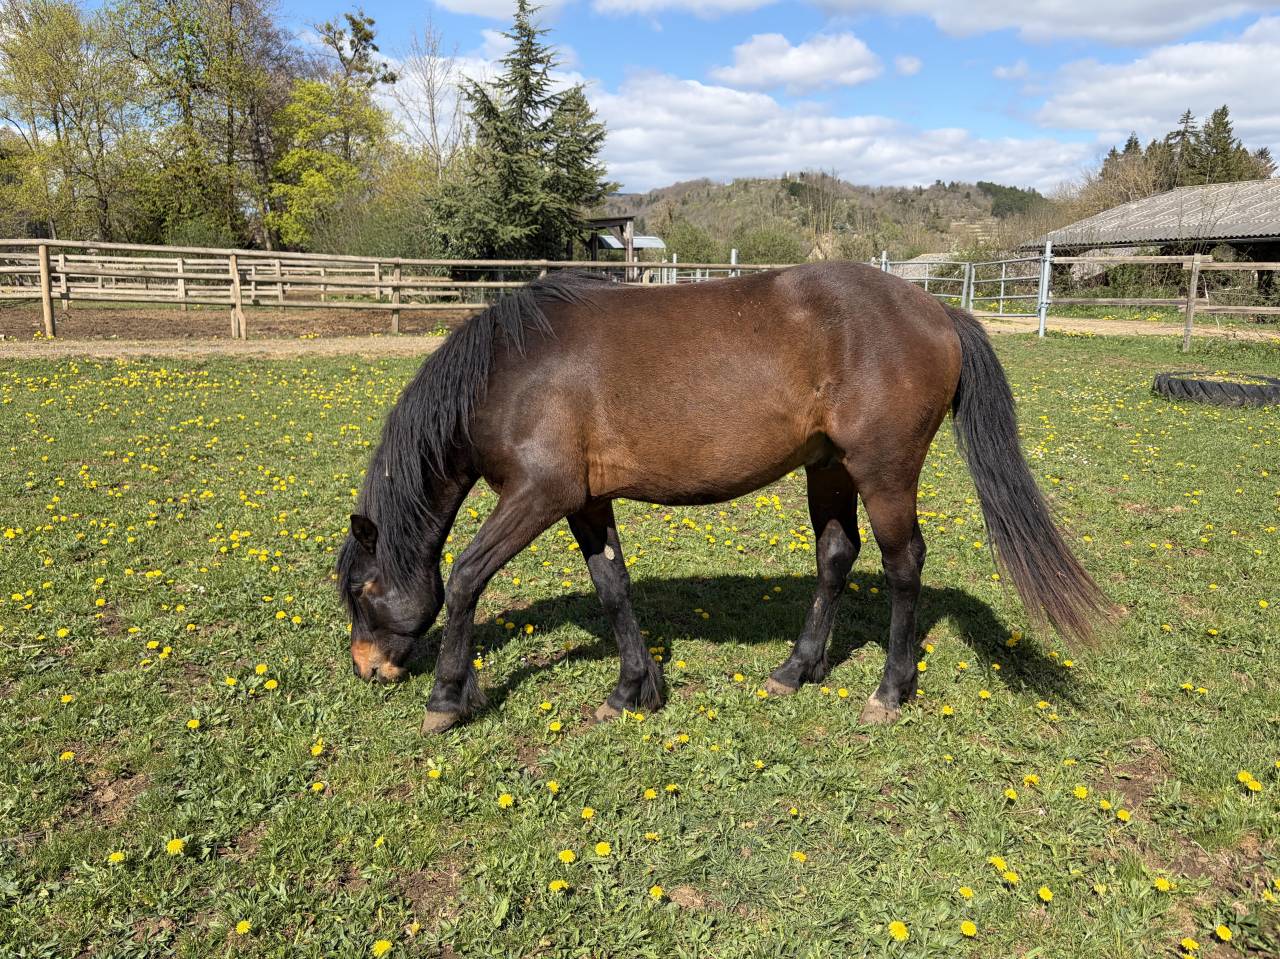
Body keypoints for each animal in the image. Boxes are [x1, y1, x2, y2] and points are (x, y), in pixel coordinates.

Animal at [336, 263, 1109, 734]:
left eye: (363, 591)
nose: (366, 669)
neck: (511, 370)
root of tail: (938, 310)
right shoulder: (585, 502)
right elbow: (612, 586)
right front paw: (633, 690)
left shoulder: (538, 495)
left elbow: (467, 576)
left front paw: (446, 697)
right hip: (829, 468)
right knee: (836, 556)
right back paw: (796, 670)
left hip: (884, 472)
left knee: (903, 565)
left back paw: (889, 691)